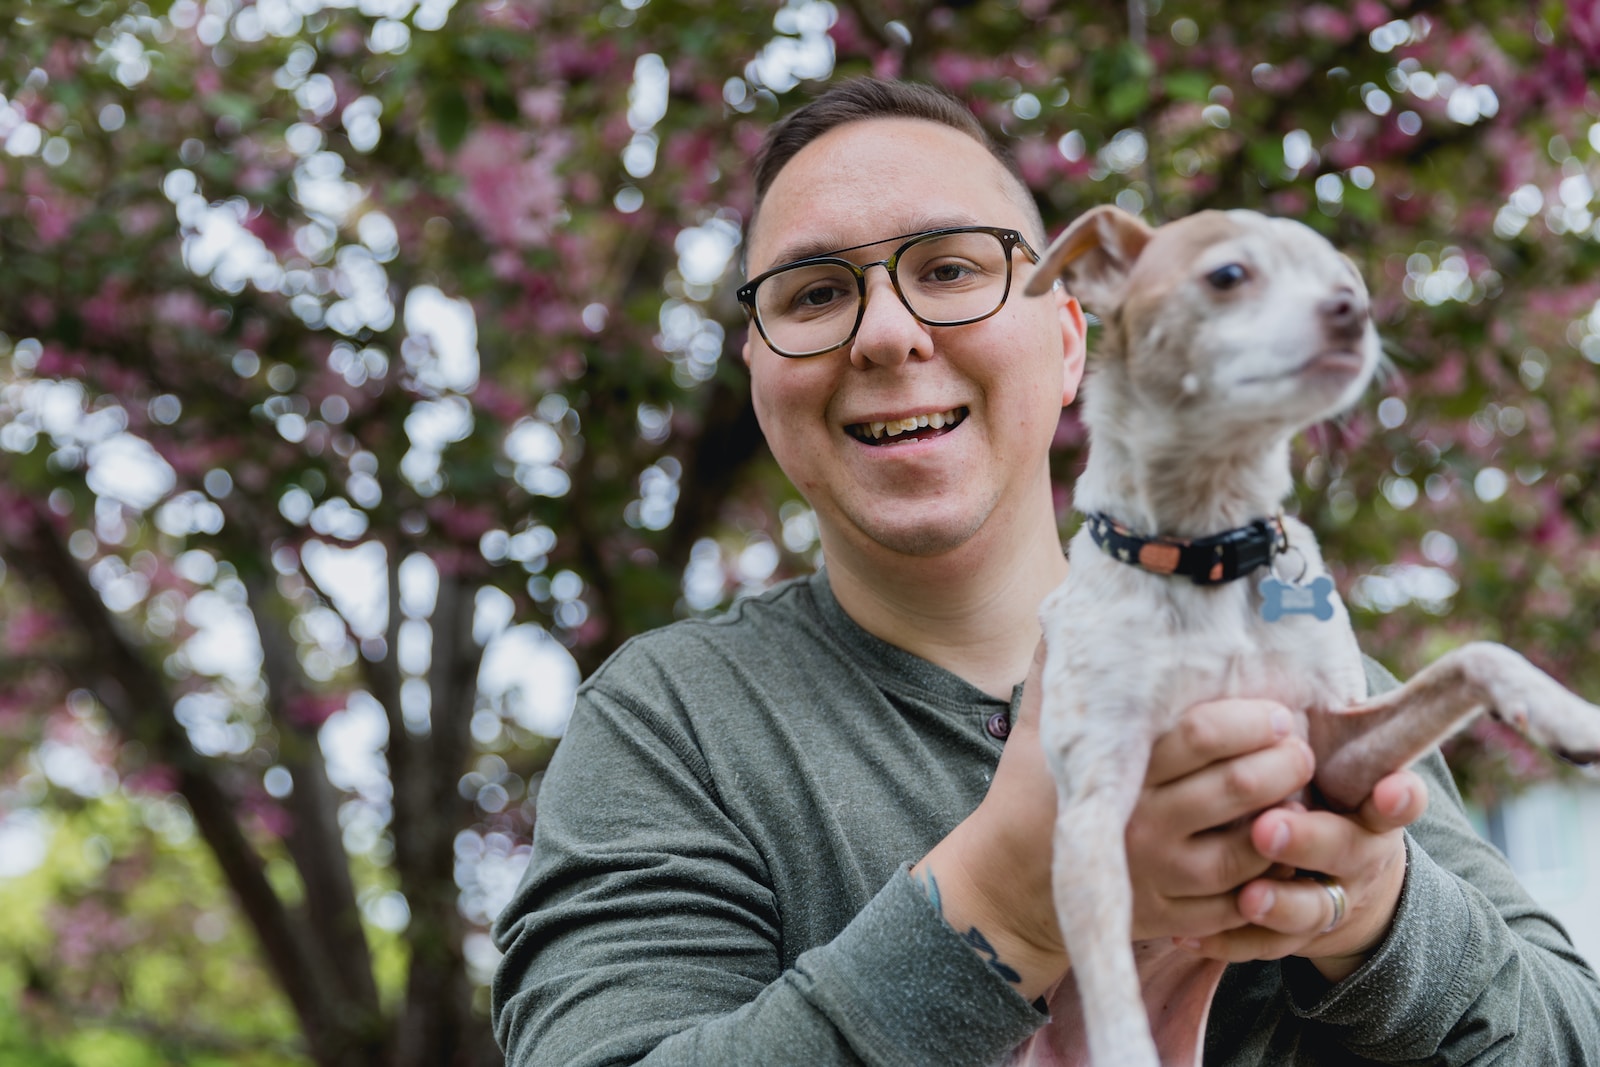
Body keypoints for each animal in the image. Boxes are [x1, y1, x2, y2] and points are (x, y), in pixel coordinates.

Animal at [1011, 207, 1600, 1067]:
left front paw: (1570, 713)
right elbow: (1112, 983)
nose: (1354, 309)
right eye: (1228, 275)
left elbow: (1474, 656)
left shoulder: (1335, 758)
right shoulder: (1093, 809)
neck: (1211, 552)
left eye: (1344, 279)